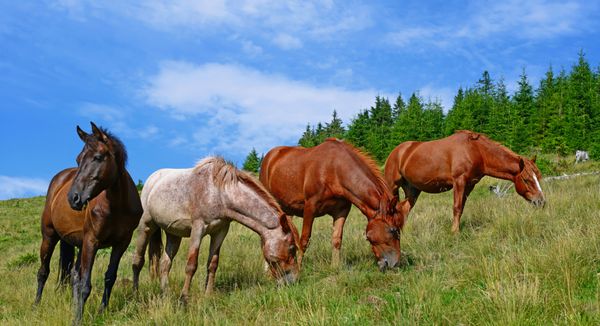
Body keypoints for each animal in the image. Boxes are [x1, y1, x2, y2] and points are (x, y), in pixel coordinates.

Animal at [34, 122, 142, 324]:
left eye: (98, 157)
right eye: (78, 159)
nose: (73, 198)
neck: (117, 205)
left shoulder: (121, 244)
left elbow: (109, 277)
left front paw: (101, 312)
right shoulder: (92, 241)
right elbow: (85, 284)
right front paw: (78, 319)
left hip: (78, 244)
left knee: (74, 275)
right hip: (49, 236)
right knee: (43, 272)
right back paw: (35, 306)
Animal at [132, 157, 298, 304]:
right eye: (292, 248)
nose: (293, 281)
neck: (220, 194)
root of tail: (151, 180)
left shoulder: (220, 231)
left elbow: (212, 264)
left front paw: (208, 295)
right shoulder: (198, 229)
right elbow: (191, 265)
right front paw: (184, 299)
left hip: (173, 234)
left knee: (165, 264)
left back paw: (165, 294)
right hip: (145, 227)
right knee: (138, 261)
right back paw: (135, 295)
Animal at [258, 137, 404, 270]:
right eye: (393, 230)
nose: (395, 263)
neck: (334, 170)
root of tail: (270, 157)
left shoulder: (341, 211)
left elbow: (336, 239)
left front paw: (335, 267)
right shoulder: (310, 207)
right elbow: (304, 240)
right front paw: (298, 268)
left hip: (287, 210)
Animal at [386, 129, 548, 233]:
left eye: (537, 177)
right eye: (526, 179)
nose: (541, 201)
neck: (476, 151)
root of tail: (397, 151)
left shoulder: (469, 185)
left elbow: (462, 208)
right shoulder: (459, 181)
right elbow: (457, 207)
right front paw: (454, 232)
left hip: (413, 189)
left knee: (404, 209)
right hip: (392, 186)